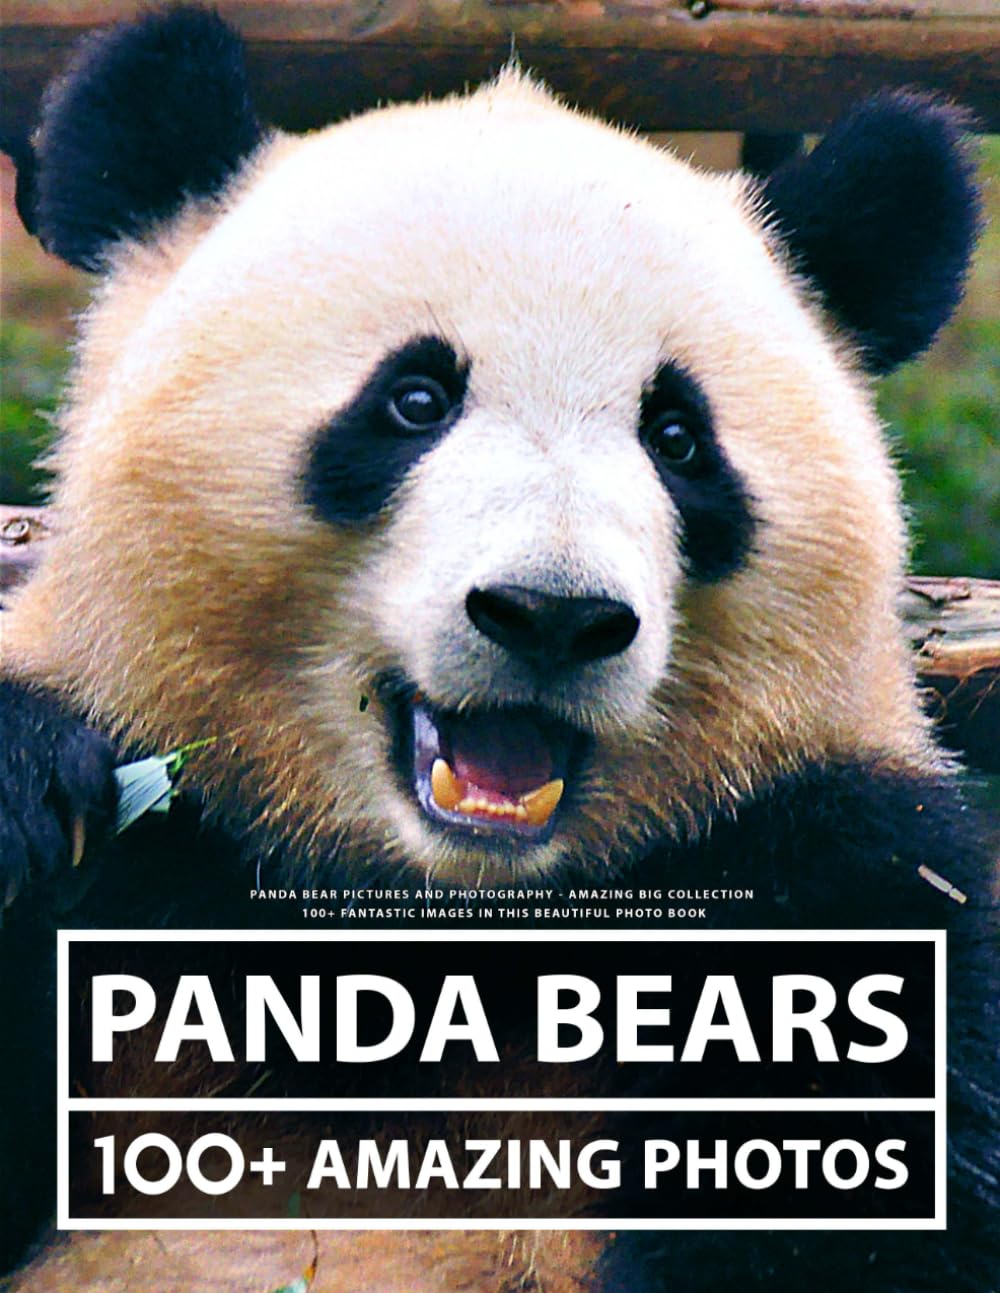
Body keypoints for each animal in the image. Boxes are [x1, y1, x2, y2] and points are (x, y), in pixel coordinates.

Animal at [0, 6, 996, 1291]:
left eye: (678, 436)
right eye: (415, 399)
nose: (551, 615)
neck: (444, 920)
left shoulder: (834, 865)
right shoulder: (160, 853)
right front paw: (31, 785)